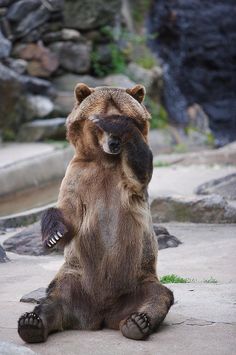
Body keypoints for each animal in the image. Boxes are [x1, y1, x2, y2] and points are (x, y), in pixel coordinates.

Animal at [18, 84, 173, 344]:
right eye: (97, 123)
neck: (106, 161)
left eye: (125, 117)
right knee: (54, 298)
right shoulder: (78, 175)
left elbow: (141, 168)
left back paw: (138, 323)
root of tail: (101, 314)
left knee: (158, 295)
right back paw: (32, 323)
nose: (114, 144)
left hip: (139, 278)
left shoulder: (128, 180)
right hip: (75, 277)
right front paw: (53, 234)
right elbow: (68, 212)